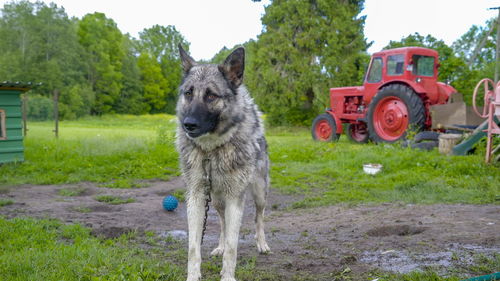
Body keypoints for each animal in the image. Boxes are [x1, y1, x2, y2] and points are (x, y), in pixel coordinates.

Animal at [175, 44, 270, 280]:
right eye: (188, 93)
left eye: (211, 95)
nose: (188, 124)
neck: (212, 151)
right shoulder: (196, 197)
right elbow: (193, 247)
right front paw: (193, 275)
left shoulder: (236, 198)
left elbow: (233, 247)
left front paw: (227, 276)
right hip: (217, 200)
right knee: (223, 224)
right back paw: (219, 246)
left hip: (259, 193)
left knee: (259, 218)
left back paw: (262, 244)